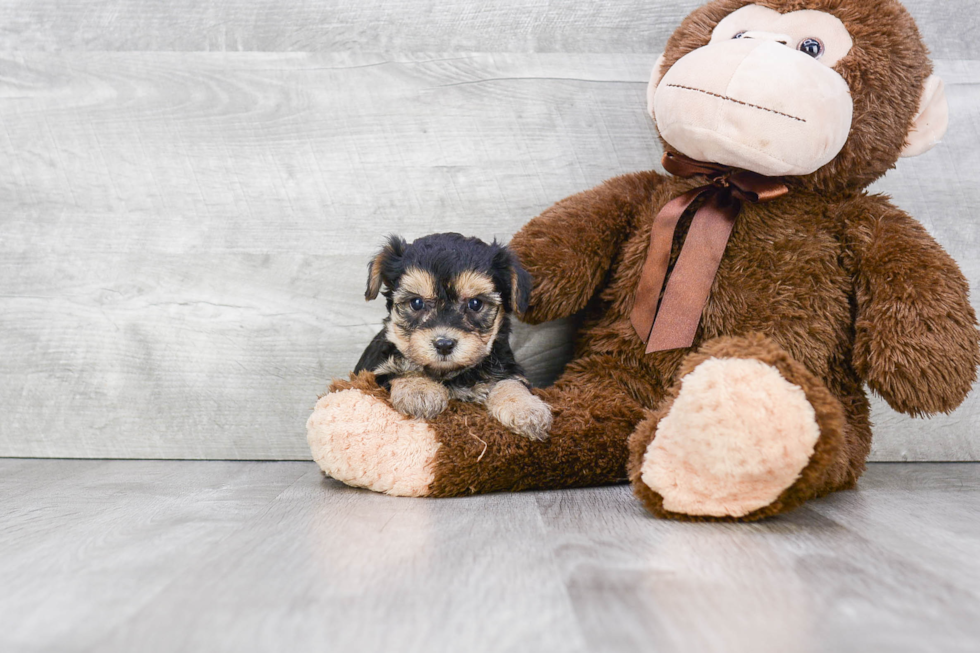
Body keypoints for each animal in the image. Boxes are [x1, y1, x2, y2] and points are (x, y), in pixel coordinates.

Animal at [352, 232, 552, 440]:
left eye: (475, 304)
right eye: (416, 303)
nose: (444, 344)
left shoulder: (507, 367)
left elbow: (511, 382)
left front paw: (526, 409)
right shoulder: (375, 371)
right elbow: (403, 367)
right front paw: (420, 390)